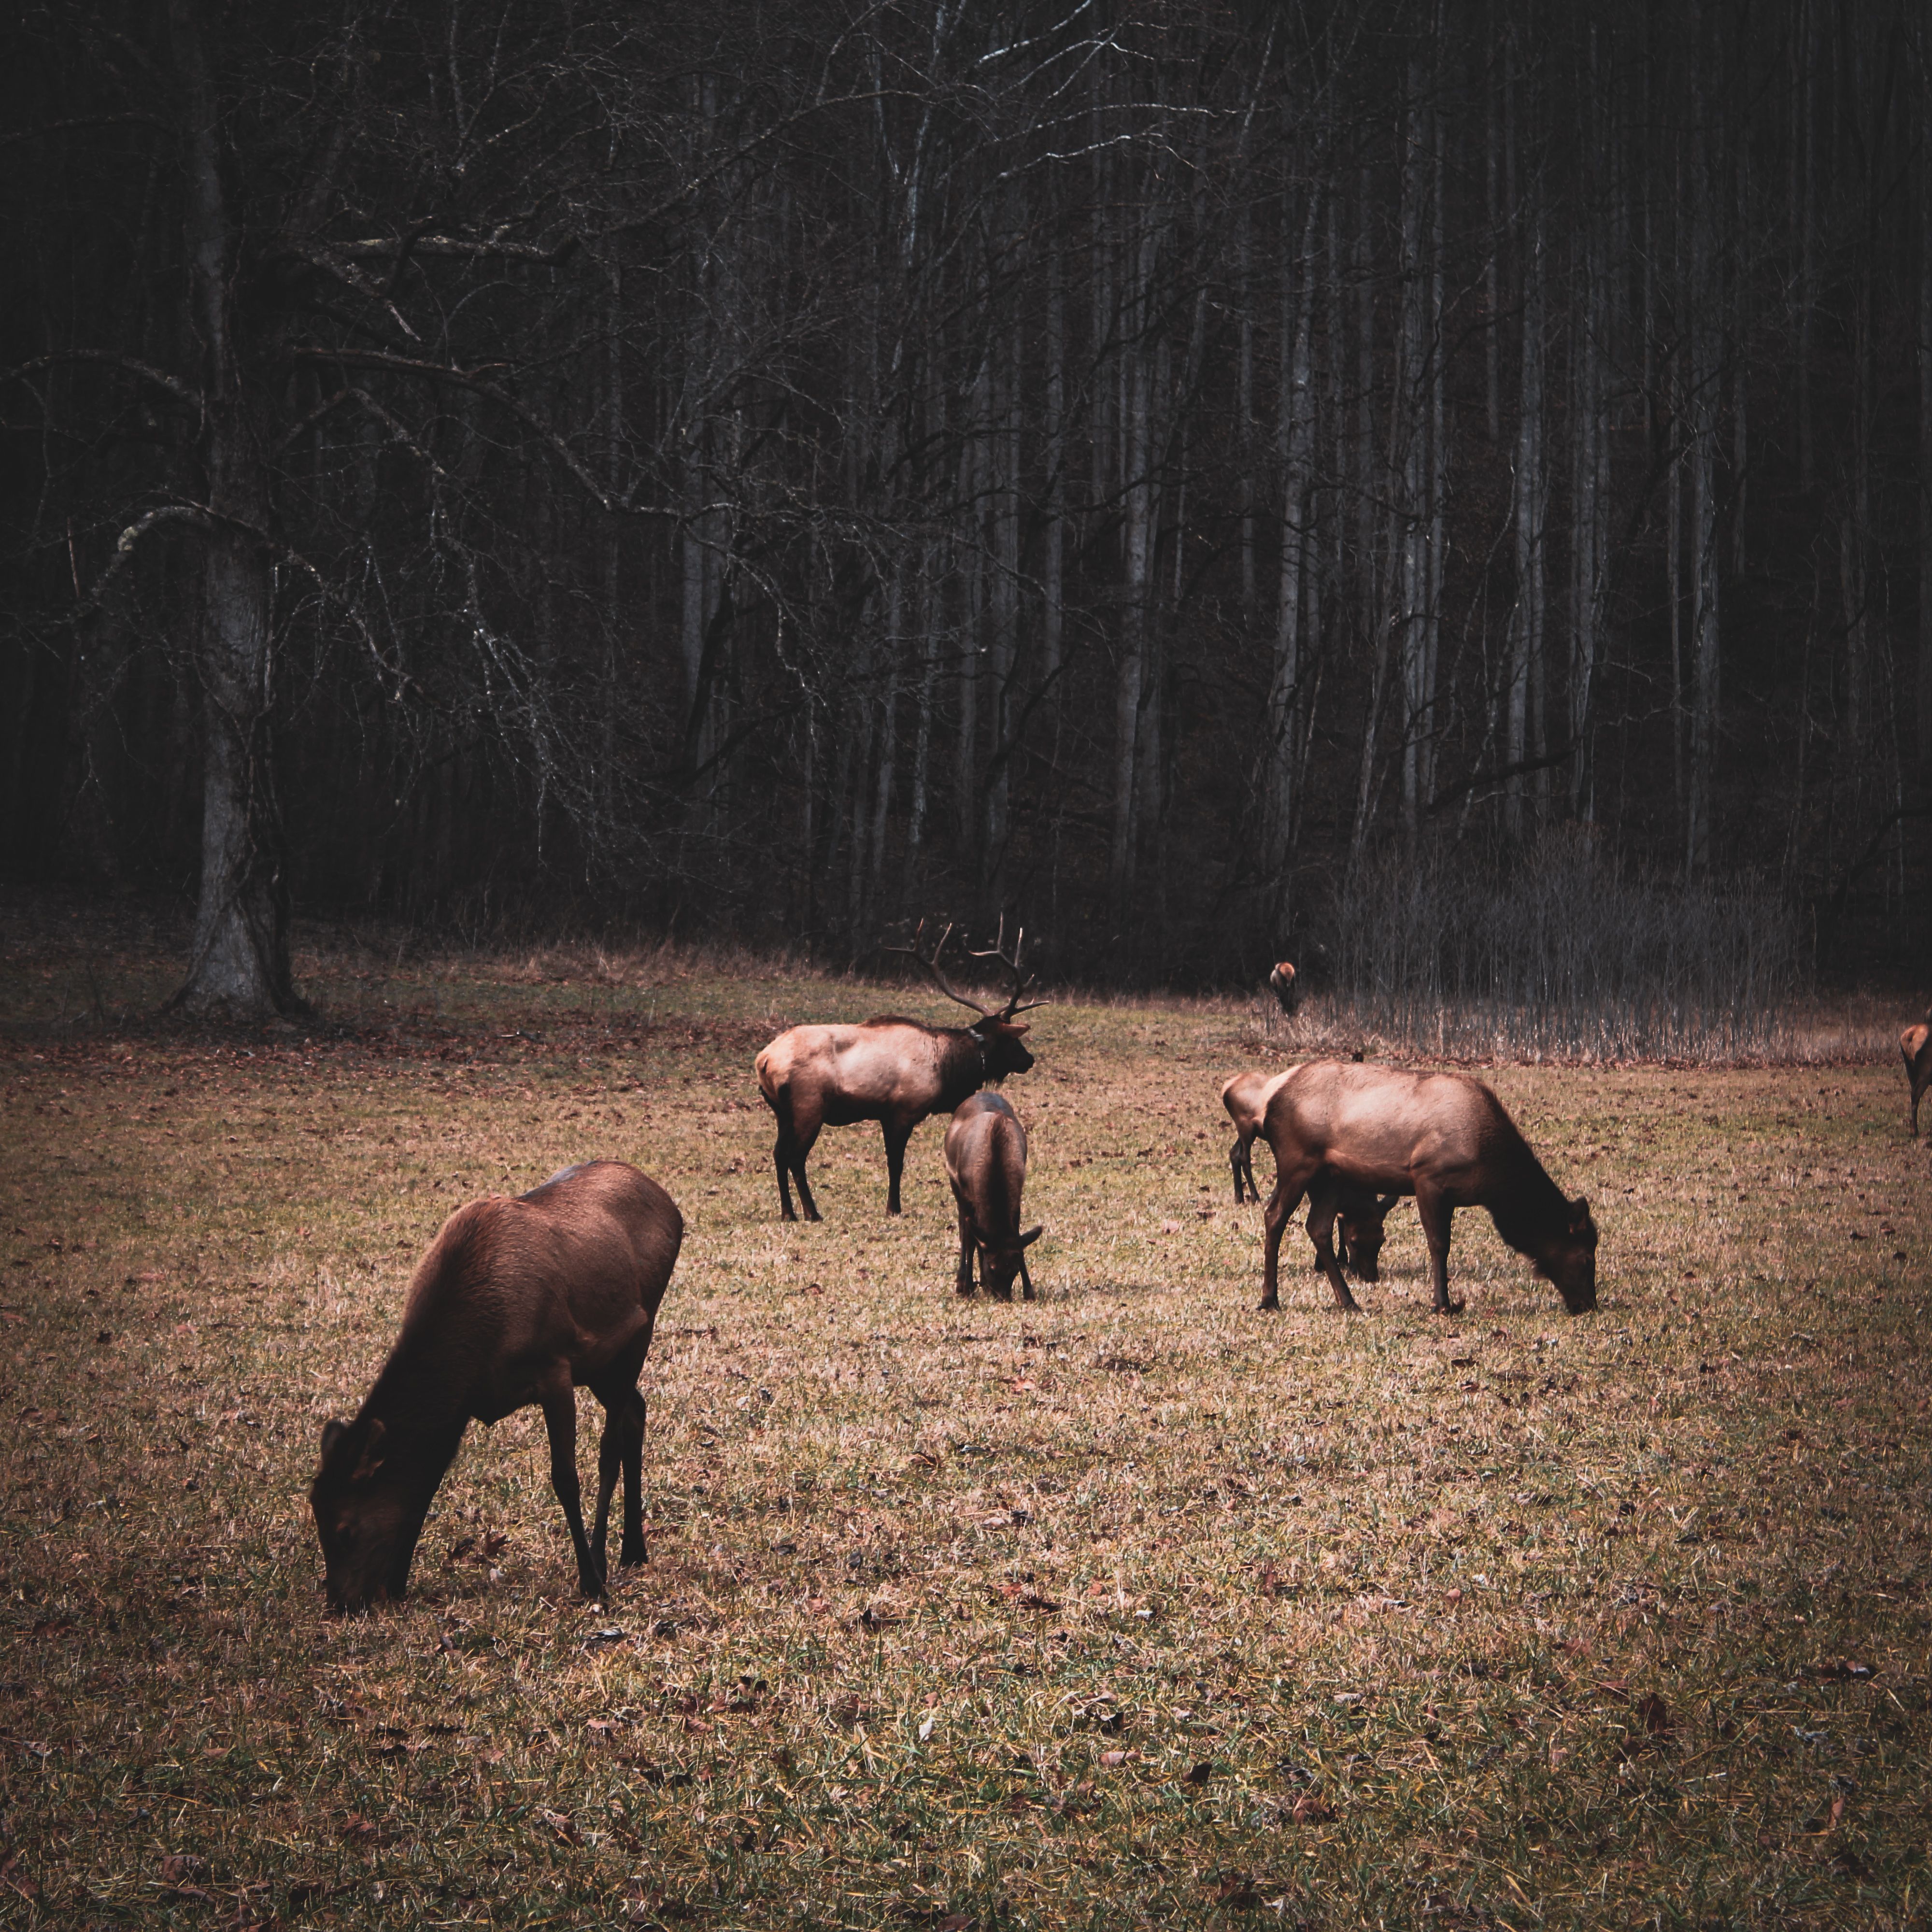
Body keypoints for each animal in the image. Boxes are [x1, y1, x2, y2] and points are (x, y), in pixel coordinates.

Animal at [310, 1161, 682, 1613]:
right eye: (317, 1517)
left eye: (345, 1530)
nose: (340, 1603)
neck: (480, 1340)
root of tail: (670, 1203)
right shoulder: (463, 1399)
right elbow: (425, 1481)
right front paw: (399, 1582)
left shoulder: (554, 1367)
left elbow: (565, 1478)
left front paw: (590, 1583)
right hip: (601, 1363)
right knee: (636, 1411)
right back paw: (633, 1549)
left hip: (639, 1331)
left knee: (611, 1445)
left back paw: (604, 1558)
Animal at [754, 921, 1045, 1221]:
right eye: (1013, 1040)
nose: (1029, 1060)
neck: (948, 1068)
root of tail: (764, 1060)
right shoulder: (904, 1110)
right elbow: (896, 1163)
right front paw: (894, 1208)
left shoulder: (886, 1114)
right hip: (809, 1106)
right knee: (795, 1157)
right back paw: (812, 1213)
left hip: (782, 1112)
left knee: (778, 1154)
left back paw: (788, 1213)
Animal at [943, 1091, 1042, 1301]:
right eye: (993, 1268)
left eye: (1014, 1269)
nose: (1003, 1297)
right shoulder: (965, 1194)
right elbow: (969, 1238)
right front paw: (966, 1286)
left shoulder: (1017, 1197)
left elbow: (1016, 1235)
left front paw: (1029, 1290)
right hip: (954, 1182)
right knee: (965, 1232)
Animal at [1221, 1070, 1399, 1277]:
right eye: (1354, 1241)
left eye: (1381, 1239)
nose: (1367, 1274)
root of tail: (1226, 1087)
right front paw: (1326, 1261)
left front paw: (1341, 1259)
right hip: (1246, 1126)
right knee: (1244, 1157)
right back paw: (1255, 1196)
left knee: (1234, 1153)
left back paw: (1240, 1197)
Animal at [1253, 1061, 1596, 1317]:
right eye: (1586, 1259)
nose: (1588, 1305)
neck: (1490, 1178)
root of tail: (1270, 1104)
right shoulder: (1427, 1177)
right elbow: (1439, 1244)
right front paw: (1443, 1304)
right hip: (1297, 1160)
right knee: (1274, 1215)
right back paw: (1270, 1300)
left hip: (1333, 1176)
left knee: (1318, 1227)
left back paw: (1349, 1301)